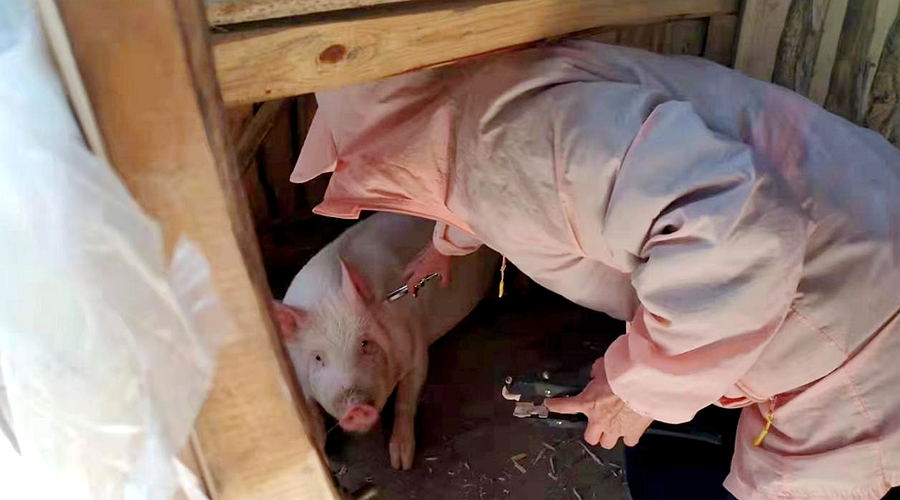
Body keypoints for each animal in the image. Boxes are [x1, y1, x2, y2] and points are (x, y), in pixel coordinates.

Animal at [274, 212, 498, 469]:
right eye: (318, 357)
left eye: (365, 343)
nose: (356, 409)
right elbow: (311, 421)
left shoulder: (416, 348)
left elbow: (405, 400)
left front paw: (401, 462)